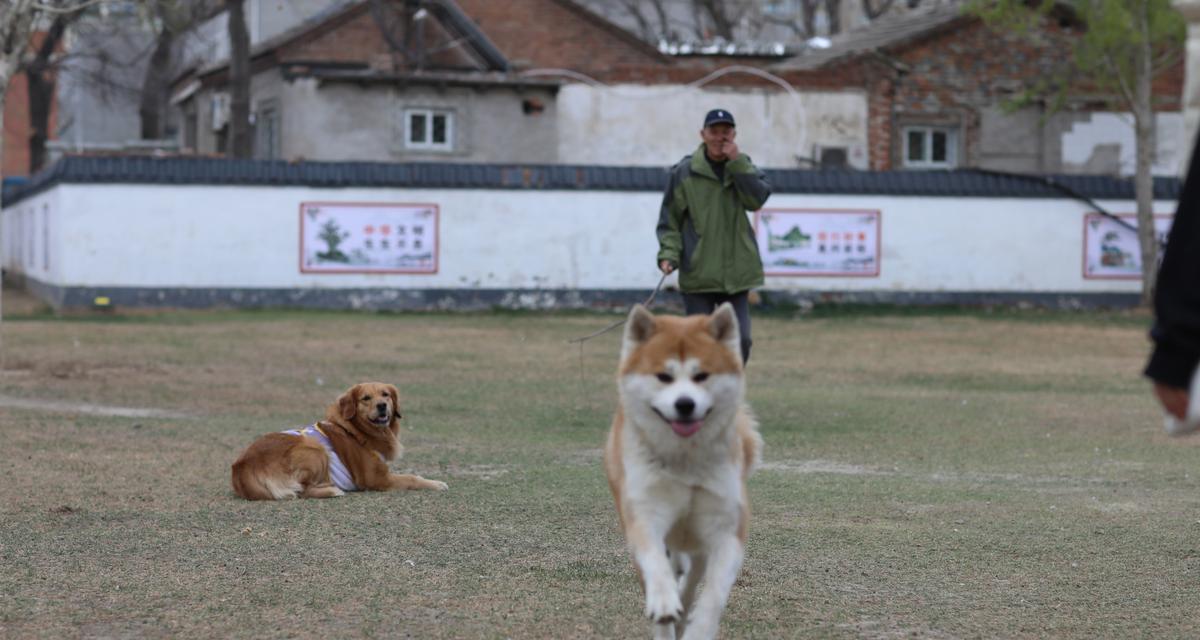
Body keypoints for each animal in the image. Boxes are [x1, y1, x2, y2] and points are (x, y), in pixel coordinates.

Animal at [604, 302, 763, 638]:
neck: (685, 461)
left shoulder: (727, 529)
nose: (685, 404)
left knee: (691, 578)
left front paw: (698, 629)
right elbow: (655, 563)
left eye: (701, 375)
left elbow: (713, 593)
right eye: (663, 376)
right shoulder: (644, 514)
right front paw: (665, 602)